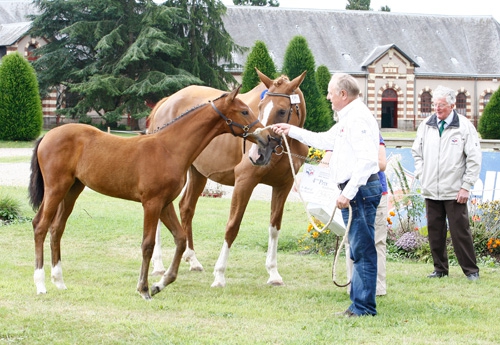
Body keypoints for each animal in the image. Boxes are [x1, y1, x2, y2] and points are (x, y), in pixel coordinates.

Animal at [28, 87, 276, 300]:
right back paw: (40, 284)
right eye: (244, 111)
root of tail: (46, 136)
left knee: (57, 228)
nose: (268, 137)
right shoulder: (151, 203)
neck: (169, 148)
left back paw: (59, 281)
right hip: (56, 188)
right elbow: (147, 244)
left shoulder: (165, 203)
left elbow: (180, 239)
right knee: (40, 226)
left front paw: (161, 284)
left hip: (72, 189)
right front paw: (144, 288)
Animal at [148, 68, 306, 286]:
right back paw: (158, 265)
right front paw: (220, 274)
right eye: (259, 107)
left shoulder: (284, 185)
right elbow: (232, 226)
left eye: (282, 111)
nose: (257, 154)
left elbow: (275, 227)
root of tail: (166, 101)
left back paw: (192, 259)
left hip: (197, 173)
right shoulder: (244, 182)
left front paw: (273, 273)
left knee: (186, 208)